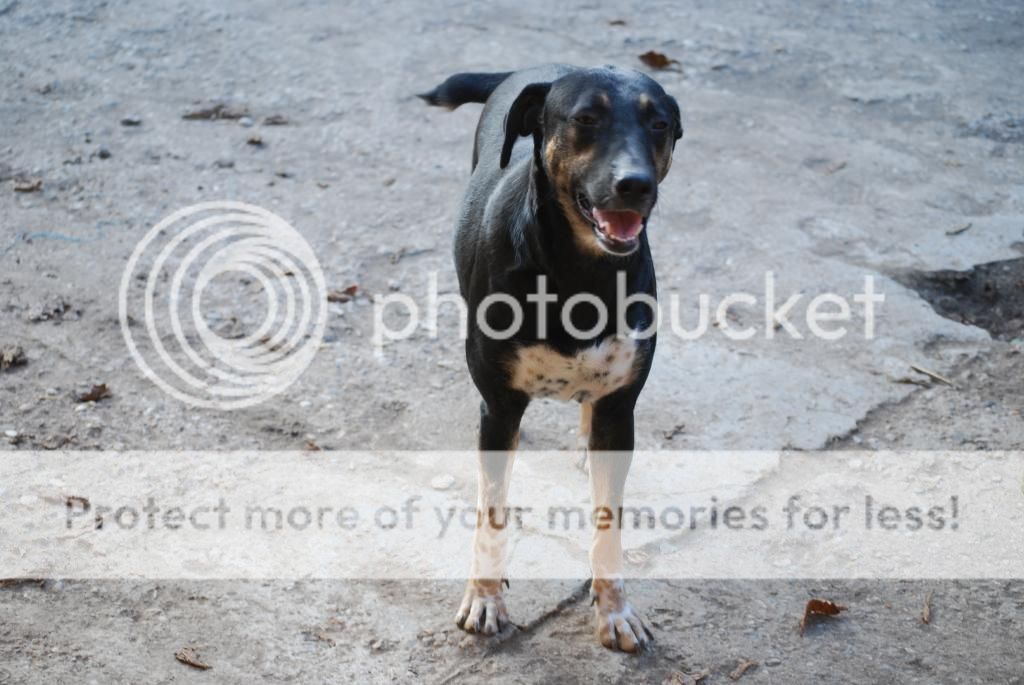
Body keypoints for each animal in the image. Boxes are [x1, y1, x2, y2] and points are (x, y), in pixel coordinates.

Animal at [419, 63, 684, 651]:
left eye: (659, 124)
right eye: (586, 118)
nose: (636, 184)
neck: (579, 271)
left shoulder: (620, 407)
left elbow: (608, 524)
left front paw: (614, 611)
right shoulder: (498, 409)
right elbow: (491, 514)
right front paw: (485, 598)